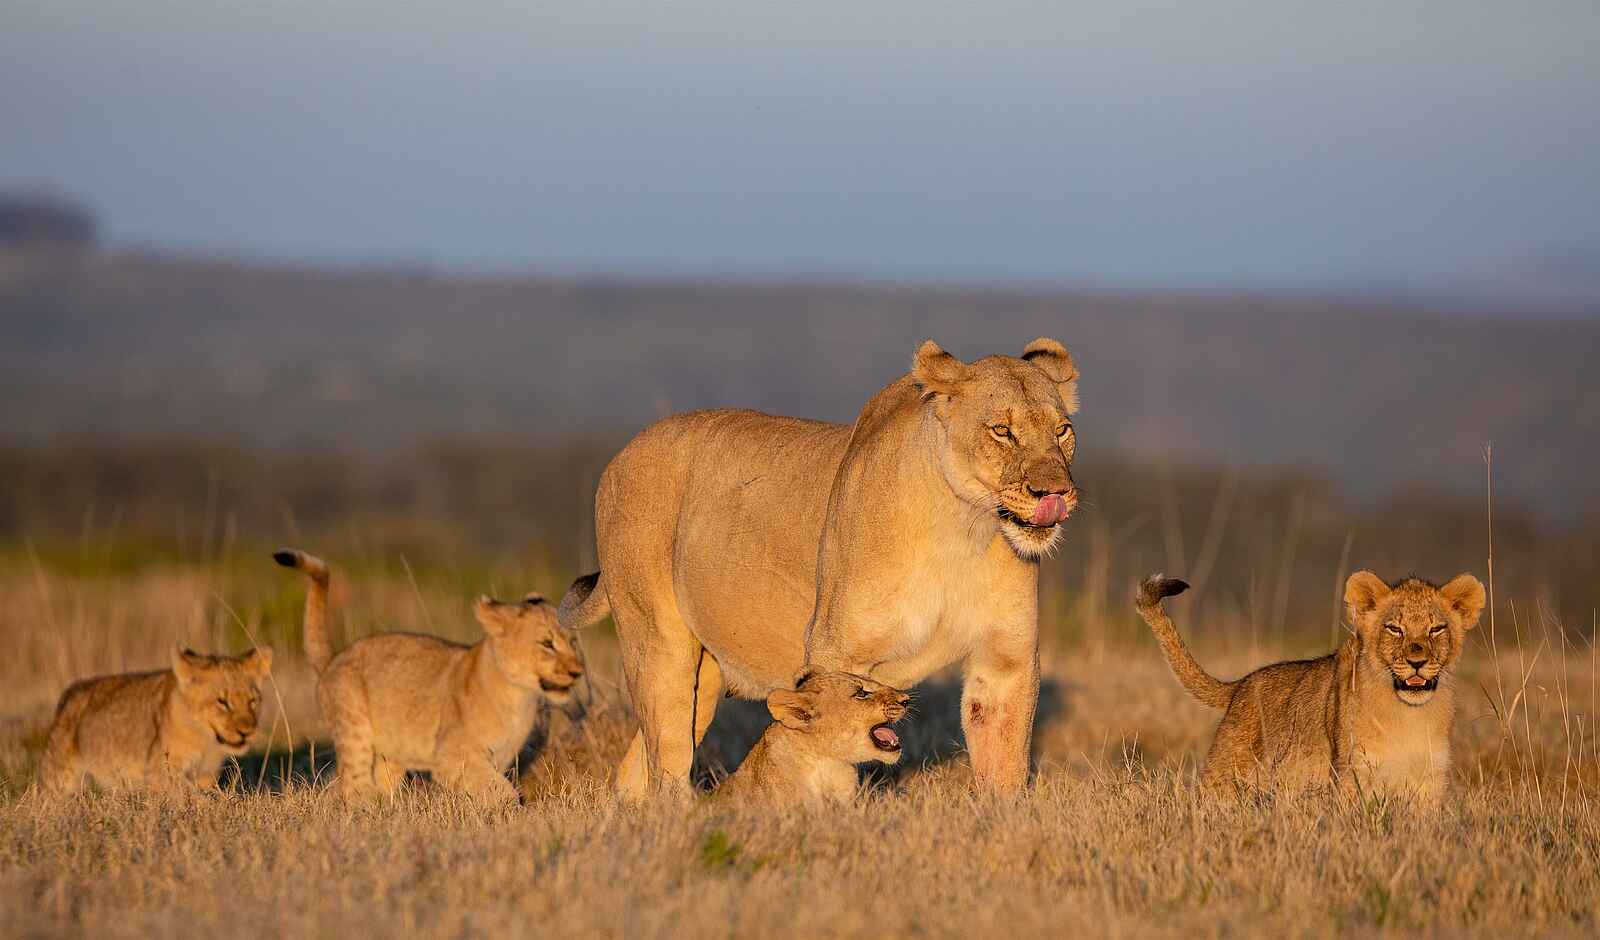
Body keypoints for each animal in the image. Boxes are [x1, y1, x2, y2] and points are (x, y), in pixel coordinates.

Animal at [39, 646, 274, 794]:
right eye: (222, 702)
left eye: (252, 701)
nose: (247, 732)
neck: (207, 742)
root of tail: (69, 694)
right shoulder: (161, 772)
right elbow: (191, 797)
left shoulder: (205, 776)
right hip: (59, 778)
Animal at [274, 548, 585, 804]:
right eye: (547, 643)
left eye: (573, 642)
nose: (577, 672)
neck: (519, 697)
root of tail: (334, 658)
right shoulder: (452, 757)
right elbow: (499, 790)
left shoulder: (496, 758)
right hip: (354, 731)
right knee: (353, 785)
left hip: (389, 752)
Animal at [1135, 570, 1486, 802]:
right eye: (1394, 629)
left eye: (1437, 629)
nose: (1417, 661)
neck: (1408, 715)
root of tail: (1241, 684)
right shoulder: (1352, 774)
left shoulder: (1430, 779)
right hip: (1224, 775)